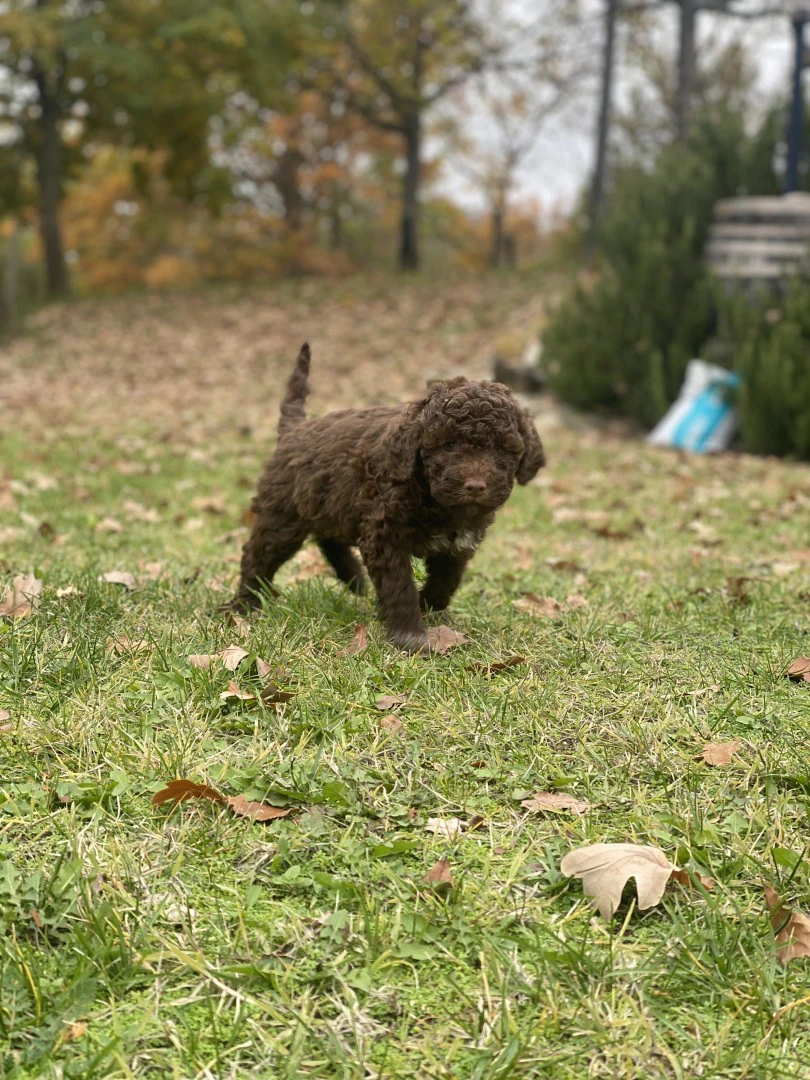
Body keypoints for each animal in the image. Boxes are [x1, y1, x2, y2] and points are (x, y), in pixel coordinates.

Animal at [228, 343, 546, 648]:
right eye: (449, 446)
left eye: (501, 449)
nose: (475, 486)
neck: (433, 498)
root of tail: (295, 429)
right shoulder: (384, 535)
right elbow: (399, 586)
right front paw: (411, 637)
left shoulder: (458, 544)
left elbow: (446, 581)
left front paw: (429, 607)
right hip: (282, 514)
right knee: (258, 554)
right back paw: (245, 605)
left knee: (327, 536)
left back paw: (353, 578)